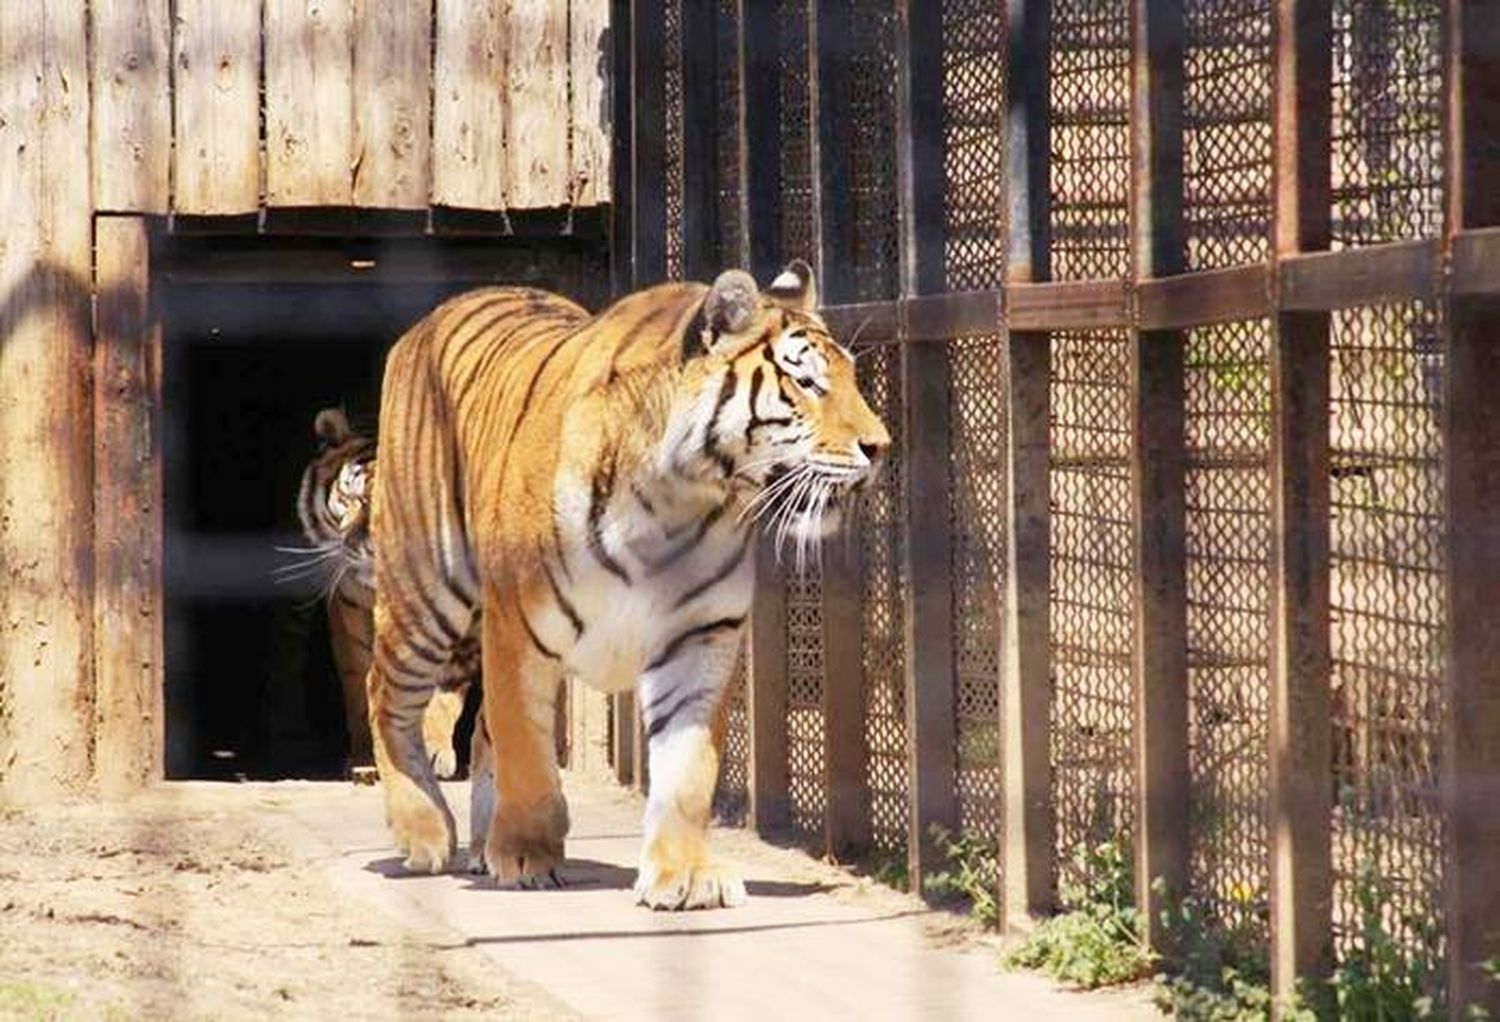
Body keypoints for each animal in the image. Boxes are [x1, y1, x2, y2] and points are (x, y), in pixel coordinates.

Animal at [295, 405, 471, 774]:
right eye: (353, 498)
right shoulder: (350, 611)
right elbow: (361, 686)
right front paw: (366, 756)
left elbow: (443, 690)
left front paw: (435, 750)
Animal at [369, 262, 888, 906]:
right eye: (807, 383)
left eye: (851, 378)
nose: (880, 446)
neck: (677, 500)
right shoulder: (518, 626)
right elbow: (525, 751)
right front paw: (525, 855)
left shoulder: (701, 634)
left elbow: (688, 769)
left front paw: (685, 873)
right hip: (425, 591)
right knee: (385, 694)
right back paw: (424, 832)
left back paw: (479, 845)